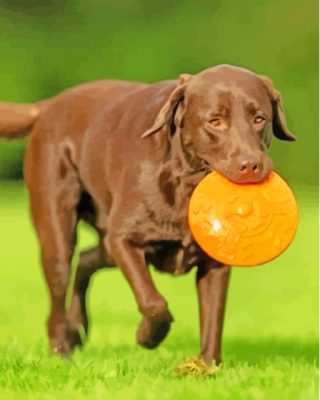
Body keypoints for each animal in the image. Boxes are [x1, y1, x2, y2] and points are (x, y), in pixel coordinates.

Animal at [0, 65, 296, 366]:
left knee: (85, 260)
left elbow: (213, 319)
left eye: (259, 118)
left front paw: (207, 367)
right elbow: (153, 302)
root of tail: (51, 105)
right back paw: (62, 347)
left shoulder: (215, 263)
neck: (186, 185)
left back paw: (77, 328)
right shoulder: (123, 240)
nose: (251, 165)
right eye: (215, 121)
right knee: (60, 285)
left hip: (104, 245)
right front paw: (147, 336)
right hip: (59, 228)